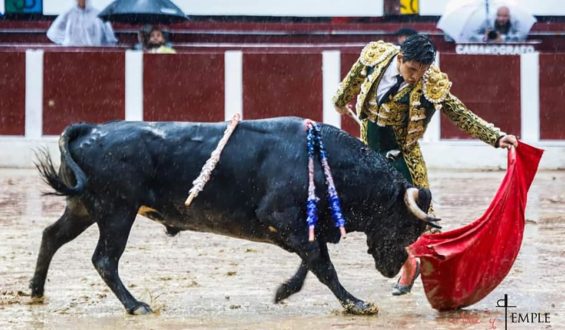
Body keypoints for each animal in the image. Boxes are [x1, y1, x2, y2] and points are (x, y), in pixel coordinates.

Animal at [29, 116, 436, 314]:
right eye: (405, 224)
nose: (395, 267)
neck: (325, 162)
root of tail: (91, 130)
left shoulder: (300, 228)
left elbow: (311, 262)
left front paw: (284, 291)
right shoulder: (283, 220)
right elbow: (323, 265)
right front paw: (357, 304)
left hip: (84, 207)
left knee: (51, 236)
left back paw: (35, 291)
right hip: (117, 212)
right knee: (104, 260)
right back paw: (136, 306)